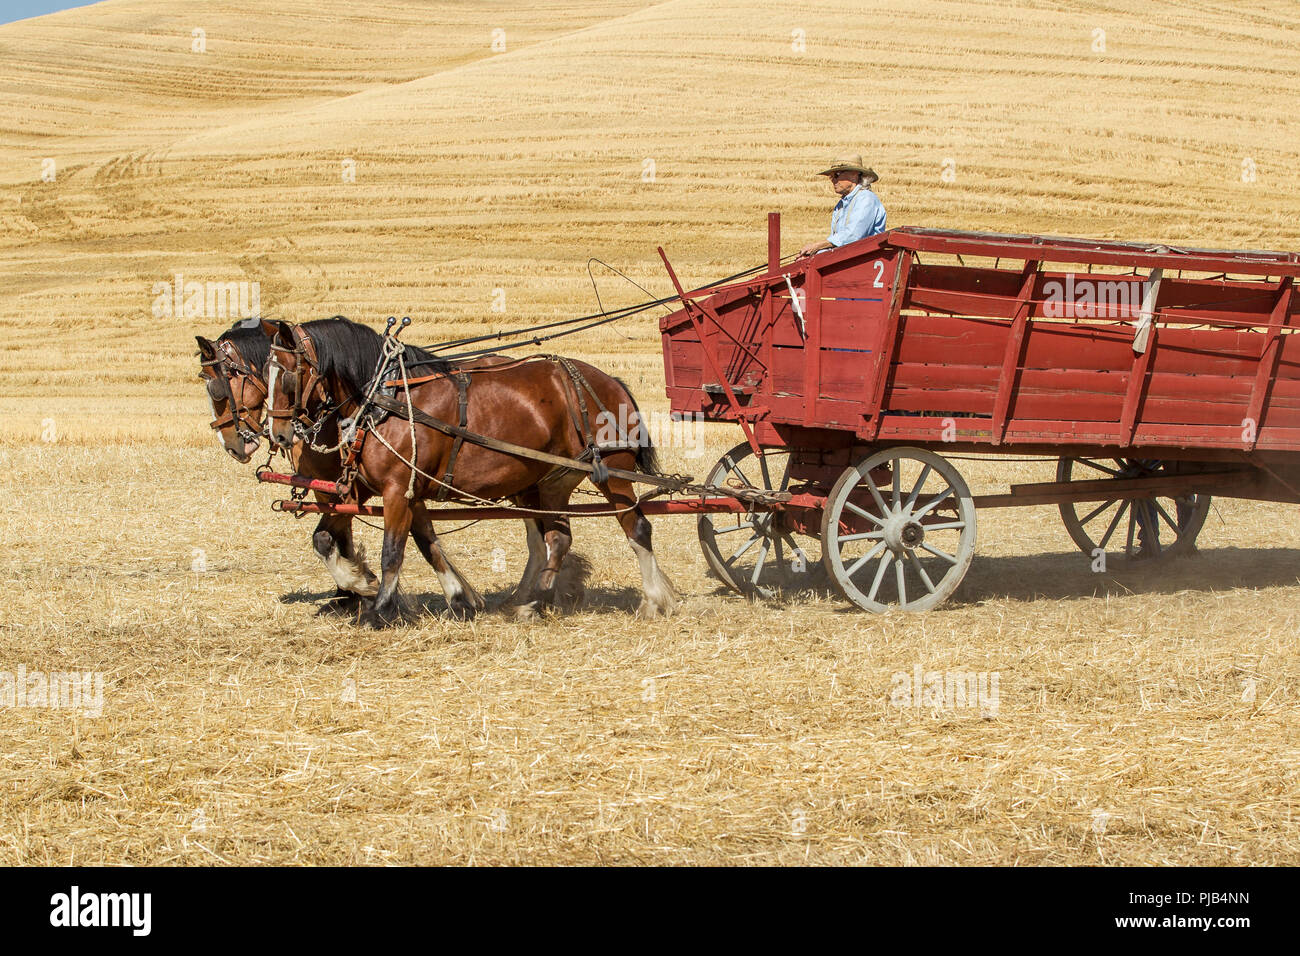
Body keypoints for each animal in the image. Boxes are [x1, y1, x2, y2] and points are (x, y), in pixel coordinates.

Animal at [197, 317, 488, 616]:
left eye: (217, 386)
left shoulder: (354, 488)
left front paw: (357, 588)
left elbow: (339, 536)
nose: (231, 445)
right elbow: (418, 534)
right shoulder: (357, 488)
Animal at [258, 316, 676, 629]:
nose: (278, 433)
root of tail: (610, 383)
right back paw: (533, 603)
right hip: (553, 481)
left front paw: (379, 610)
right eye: (266, 372)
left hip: (615, 471)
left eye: (290, 373)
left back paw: (654, 600)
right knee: (557, 538)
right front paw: (367, 583)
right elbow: (355, 540)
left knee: (637, 529)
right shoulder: (386, 491)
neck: (386, 398)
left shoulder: (397, 489)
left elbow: (393, 552)